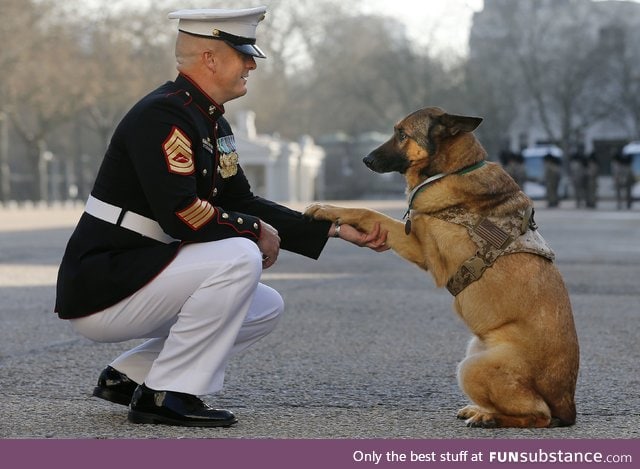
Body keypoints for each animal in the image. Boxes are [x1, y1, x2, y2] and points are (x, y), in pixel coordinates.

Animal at [306, 106, 580, 428]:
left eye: (402, 134)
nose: (365, 159)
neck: (452, 170)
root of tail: (567, 404)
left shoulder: (422, 248)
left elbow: (368, 211)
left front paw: (326, 208)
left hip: (472, 367)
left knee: (538, 415)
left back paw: (489, 418)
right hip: (473, 351)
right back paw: (479, 410)